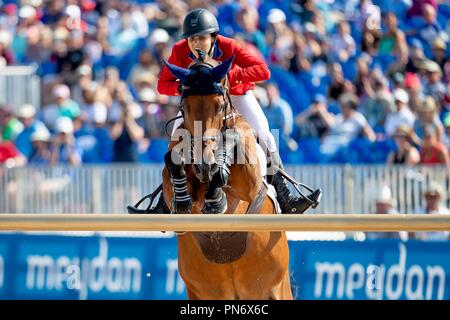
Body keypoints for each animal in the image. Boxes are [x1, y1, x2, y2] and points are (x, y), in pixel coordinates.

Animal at [160, 52, 294, 300]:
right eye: (185, 106)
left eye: (220, 105)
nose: (205, 165)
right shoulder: (171, 189)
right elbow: (173, 166)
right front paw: (185, 198)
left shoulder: (250, 185)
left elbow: (234, 137)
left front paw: (216, 194)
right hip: (205, 293)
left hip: (273, 288)